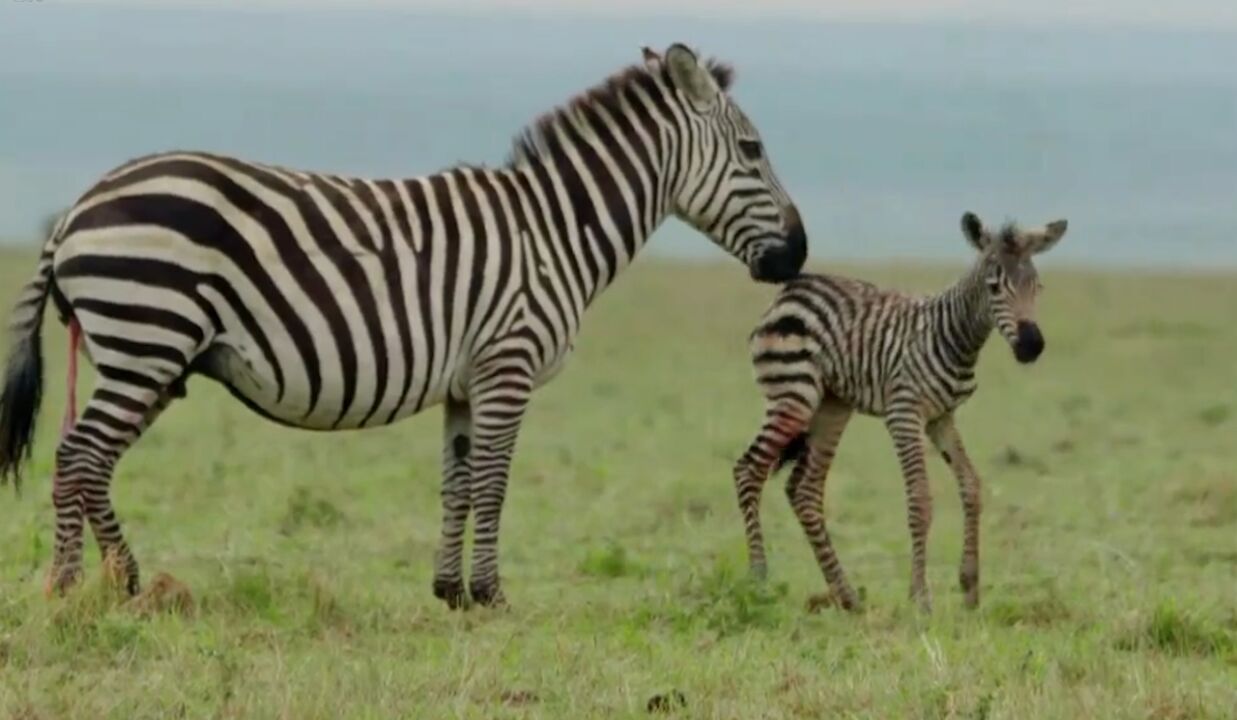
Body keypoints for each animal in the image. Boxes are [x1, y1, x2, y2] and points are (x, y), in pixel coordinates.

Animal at [2, 43, 811, 608]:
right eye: (752, 151)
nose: (799, 254)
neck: (554, 230)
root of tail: (76, 208)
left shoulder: (465, 381)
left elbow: (457, 485)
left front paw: (450, 592)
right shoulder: (508, 364)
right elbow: (494, 483)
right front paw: (492, 595)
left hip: (148, 357)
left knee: (86, 461)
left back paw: (101, 586)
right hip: (147, 342)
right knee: (80, 456)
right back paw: (93, 586)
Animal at [732, 212, 1063, 616]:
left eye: (1037, 286)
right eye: (995, 287)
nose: (1032, 346)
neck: (953, 337)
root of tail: (790, 291)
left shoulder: (941, 418)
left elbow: (971, 486)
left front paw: (970, 588)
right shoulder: (904, 413)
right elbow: (920, 500)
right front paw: (921, 598)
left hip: (832, 405)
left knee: (804, 489)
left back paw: (847, 596)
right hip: (793, 395)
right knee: (749, 469)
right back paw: (758, 580)